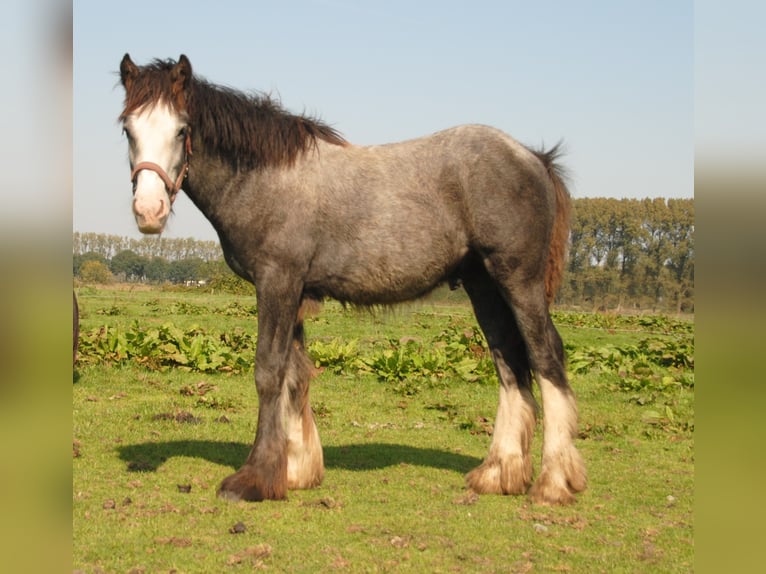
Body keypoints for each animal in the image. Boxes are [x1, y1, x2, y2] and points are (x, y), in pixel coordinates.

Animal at [118, 53, 588, 504]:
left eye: (182, 129)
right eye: (128, 129)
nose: (148, 211)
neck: (265, 179)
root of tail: (533, 157)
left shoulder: (277, 283)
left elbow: (269, 372)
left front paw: (254, 479)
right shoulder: (294, 293)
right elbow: (295, 374)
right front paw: (294, 471)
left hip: (518, 281)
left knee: (545, 357)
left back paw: (554, 482)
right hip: (484, 286)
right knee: (509, 362)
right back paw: (499, 473)